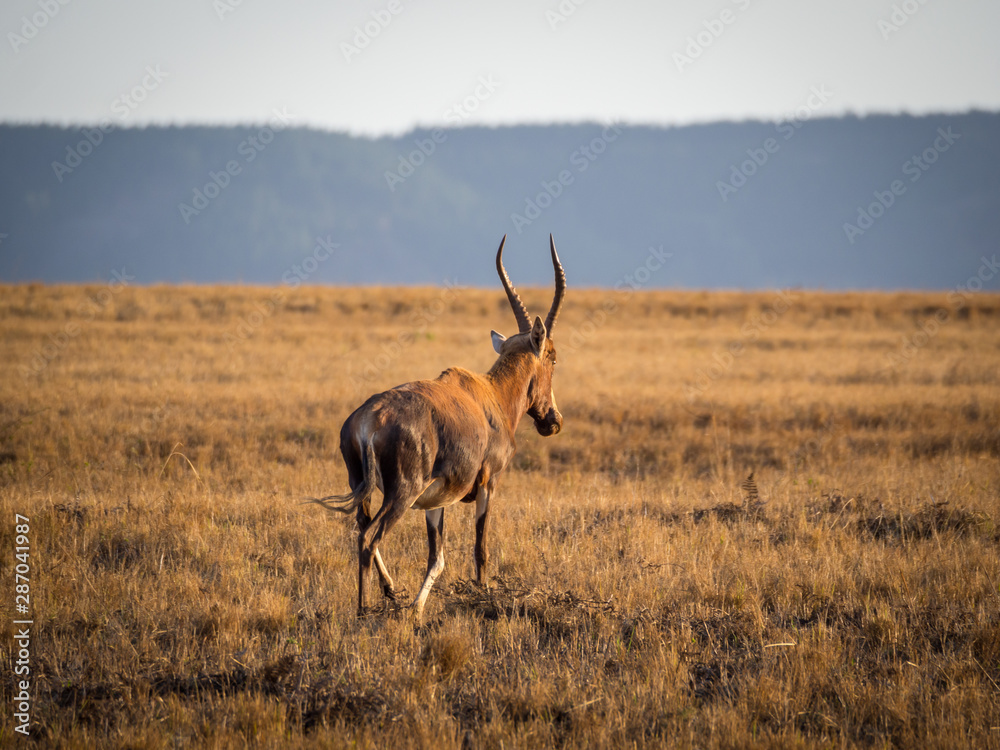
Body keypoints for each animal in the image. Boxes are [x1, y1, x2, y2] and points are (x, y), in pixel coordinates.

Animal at [313, 235, 566, 619]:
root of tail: (368, 419)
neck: (491, 395)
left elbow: (437, 558)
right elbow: (479, 549)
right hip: (402, 493)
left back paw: (389, 591)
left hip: (363, 486)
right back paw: (363, 609)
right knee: (369, 538)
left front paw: (416, 609)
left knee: (360, 528)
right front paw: (480, 596)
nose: (553, 420)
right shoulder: (489, 482)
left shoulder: (435, 502)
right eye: (552, 356)